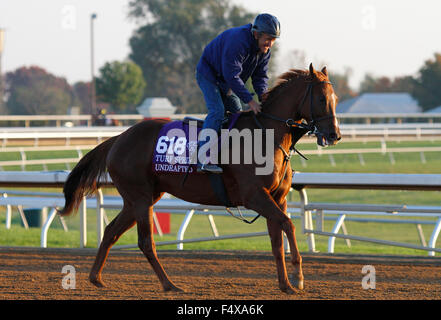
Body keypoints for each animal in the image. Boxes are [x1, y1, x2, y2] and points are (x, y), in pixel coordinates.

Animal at [59, 63, 340, 296]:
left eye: (336, 99)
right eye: (322, 98)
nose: (334, 135)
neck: (266, 135)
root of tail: (118, 138)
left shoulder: (277, 198)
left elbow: (277, 240)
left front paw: (286, 284)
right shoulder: (254, 196)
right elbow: (288, 225)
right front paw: (298, 276)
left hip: (140, 198)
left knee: (111, 231)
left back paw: (96, 278)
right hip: (140, 198)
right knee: (146, 242)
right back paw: (169, 285)